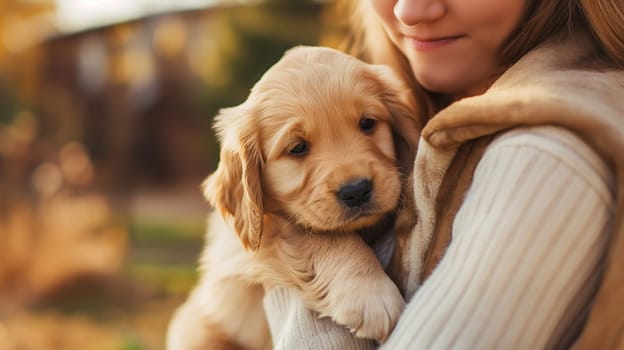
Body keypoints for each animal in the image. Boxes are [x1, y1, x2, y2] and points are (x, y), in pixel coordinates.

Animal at [167, 46, 420, 350]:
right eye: (297, 148)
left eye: (367, 123)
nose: (357, 190)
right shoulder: (255, 238)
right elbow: (322, 235)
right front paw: (370, 293)